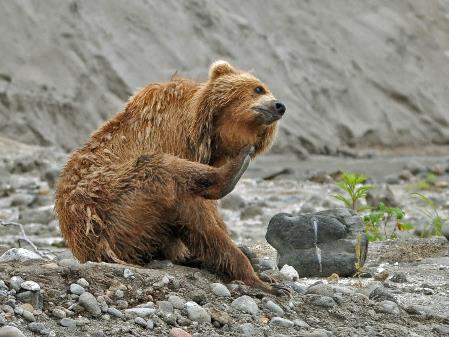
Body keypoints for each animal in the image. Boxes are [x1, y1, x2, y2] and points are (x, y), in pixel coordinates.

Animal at [55, 60, 288, 294]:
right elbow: (197, 213)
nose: (279, 106)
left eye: (264, 88)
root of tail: (81, 247)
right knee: (158, 168)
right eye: (258, 88)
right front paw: (261, 279)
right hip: (112, 208)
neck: (206, 132)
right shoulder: (171, 140)